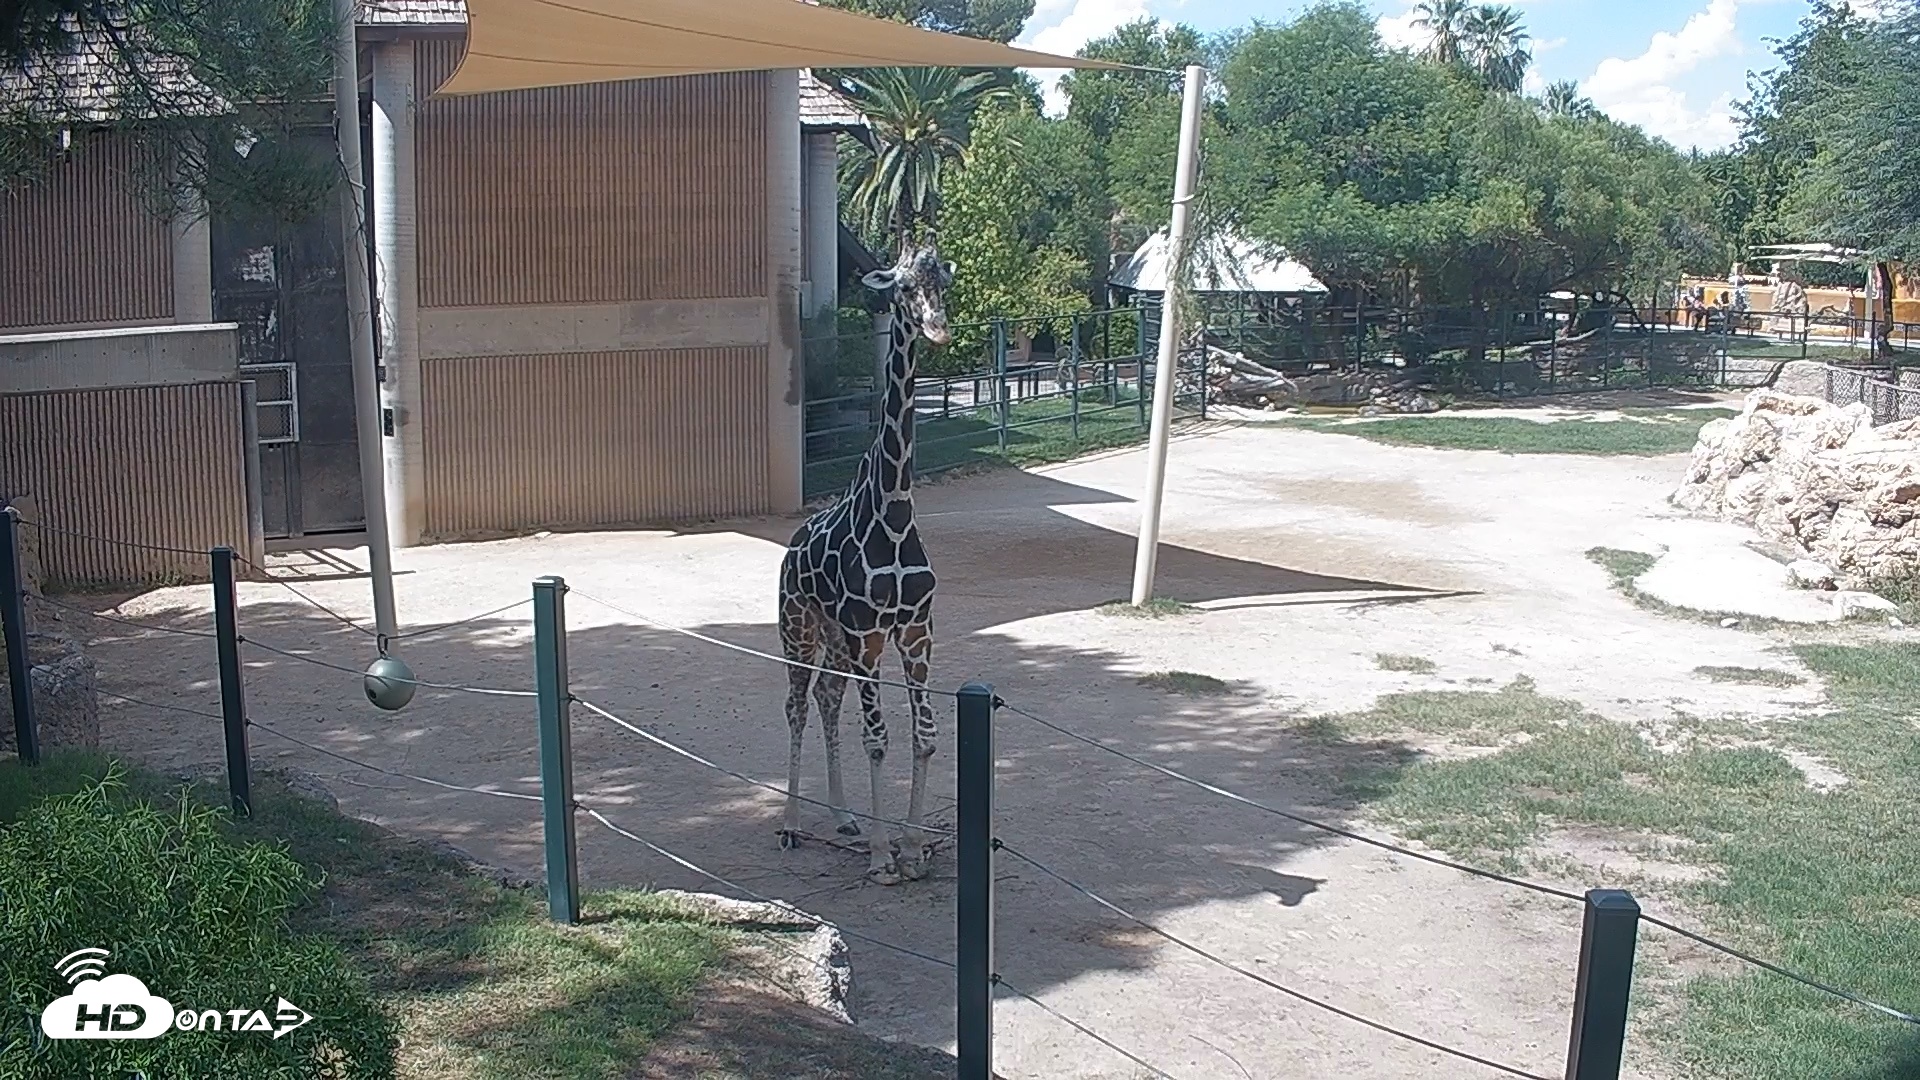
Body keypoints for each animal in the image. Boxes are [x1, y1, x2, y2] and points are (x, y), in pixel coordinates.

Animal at [778, 244, 952, 884]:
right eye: (902, 287)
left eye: (943, 280)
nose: (937, 327)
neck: (896, 514)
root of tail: (790, 547)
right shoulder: (869, 634)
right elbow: (877, 738)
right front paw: (883, 857)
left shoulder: (916, 631)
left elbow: (925, 735)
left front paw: (912, 849)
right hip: (799, 629)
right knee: (798, 704)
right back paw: (792, 825)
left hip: (833, 638)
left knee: (829, 699)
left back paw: (844, 817)